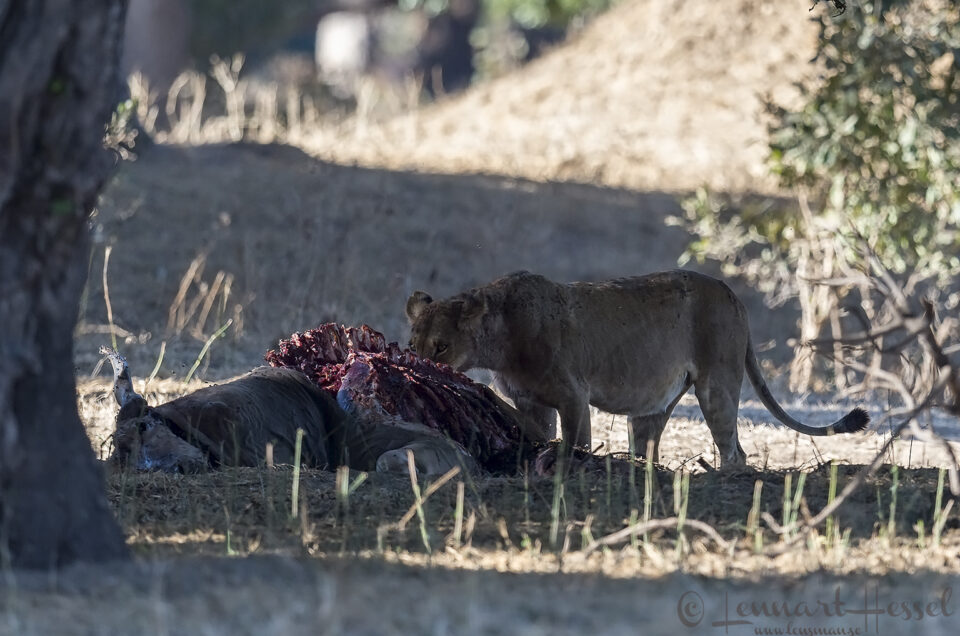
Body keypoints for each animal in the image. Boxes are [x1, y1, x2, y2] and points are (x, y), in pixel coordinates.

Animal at [406, 270, 869, 467]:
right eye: (413, 345)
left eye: (442, 345)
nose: (419, 363)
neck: (500, 340)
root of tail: (733, 295)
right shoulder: (532, 403)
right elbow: (537, 431)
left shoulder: (573, 396)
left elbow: (576, 440)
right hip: (651, 408)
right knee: (650, 444)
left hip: (717, 386)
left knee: (735, 451)